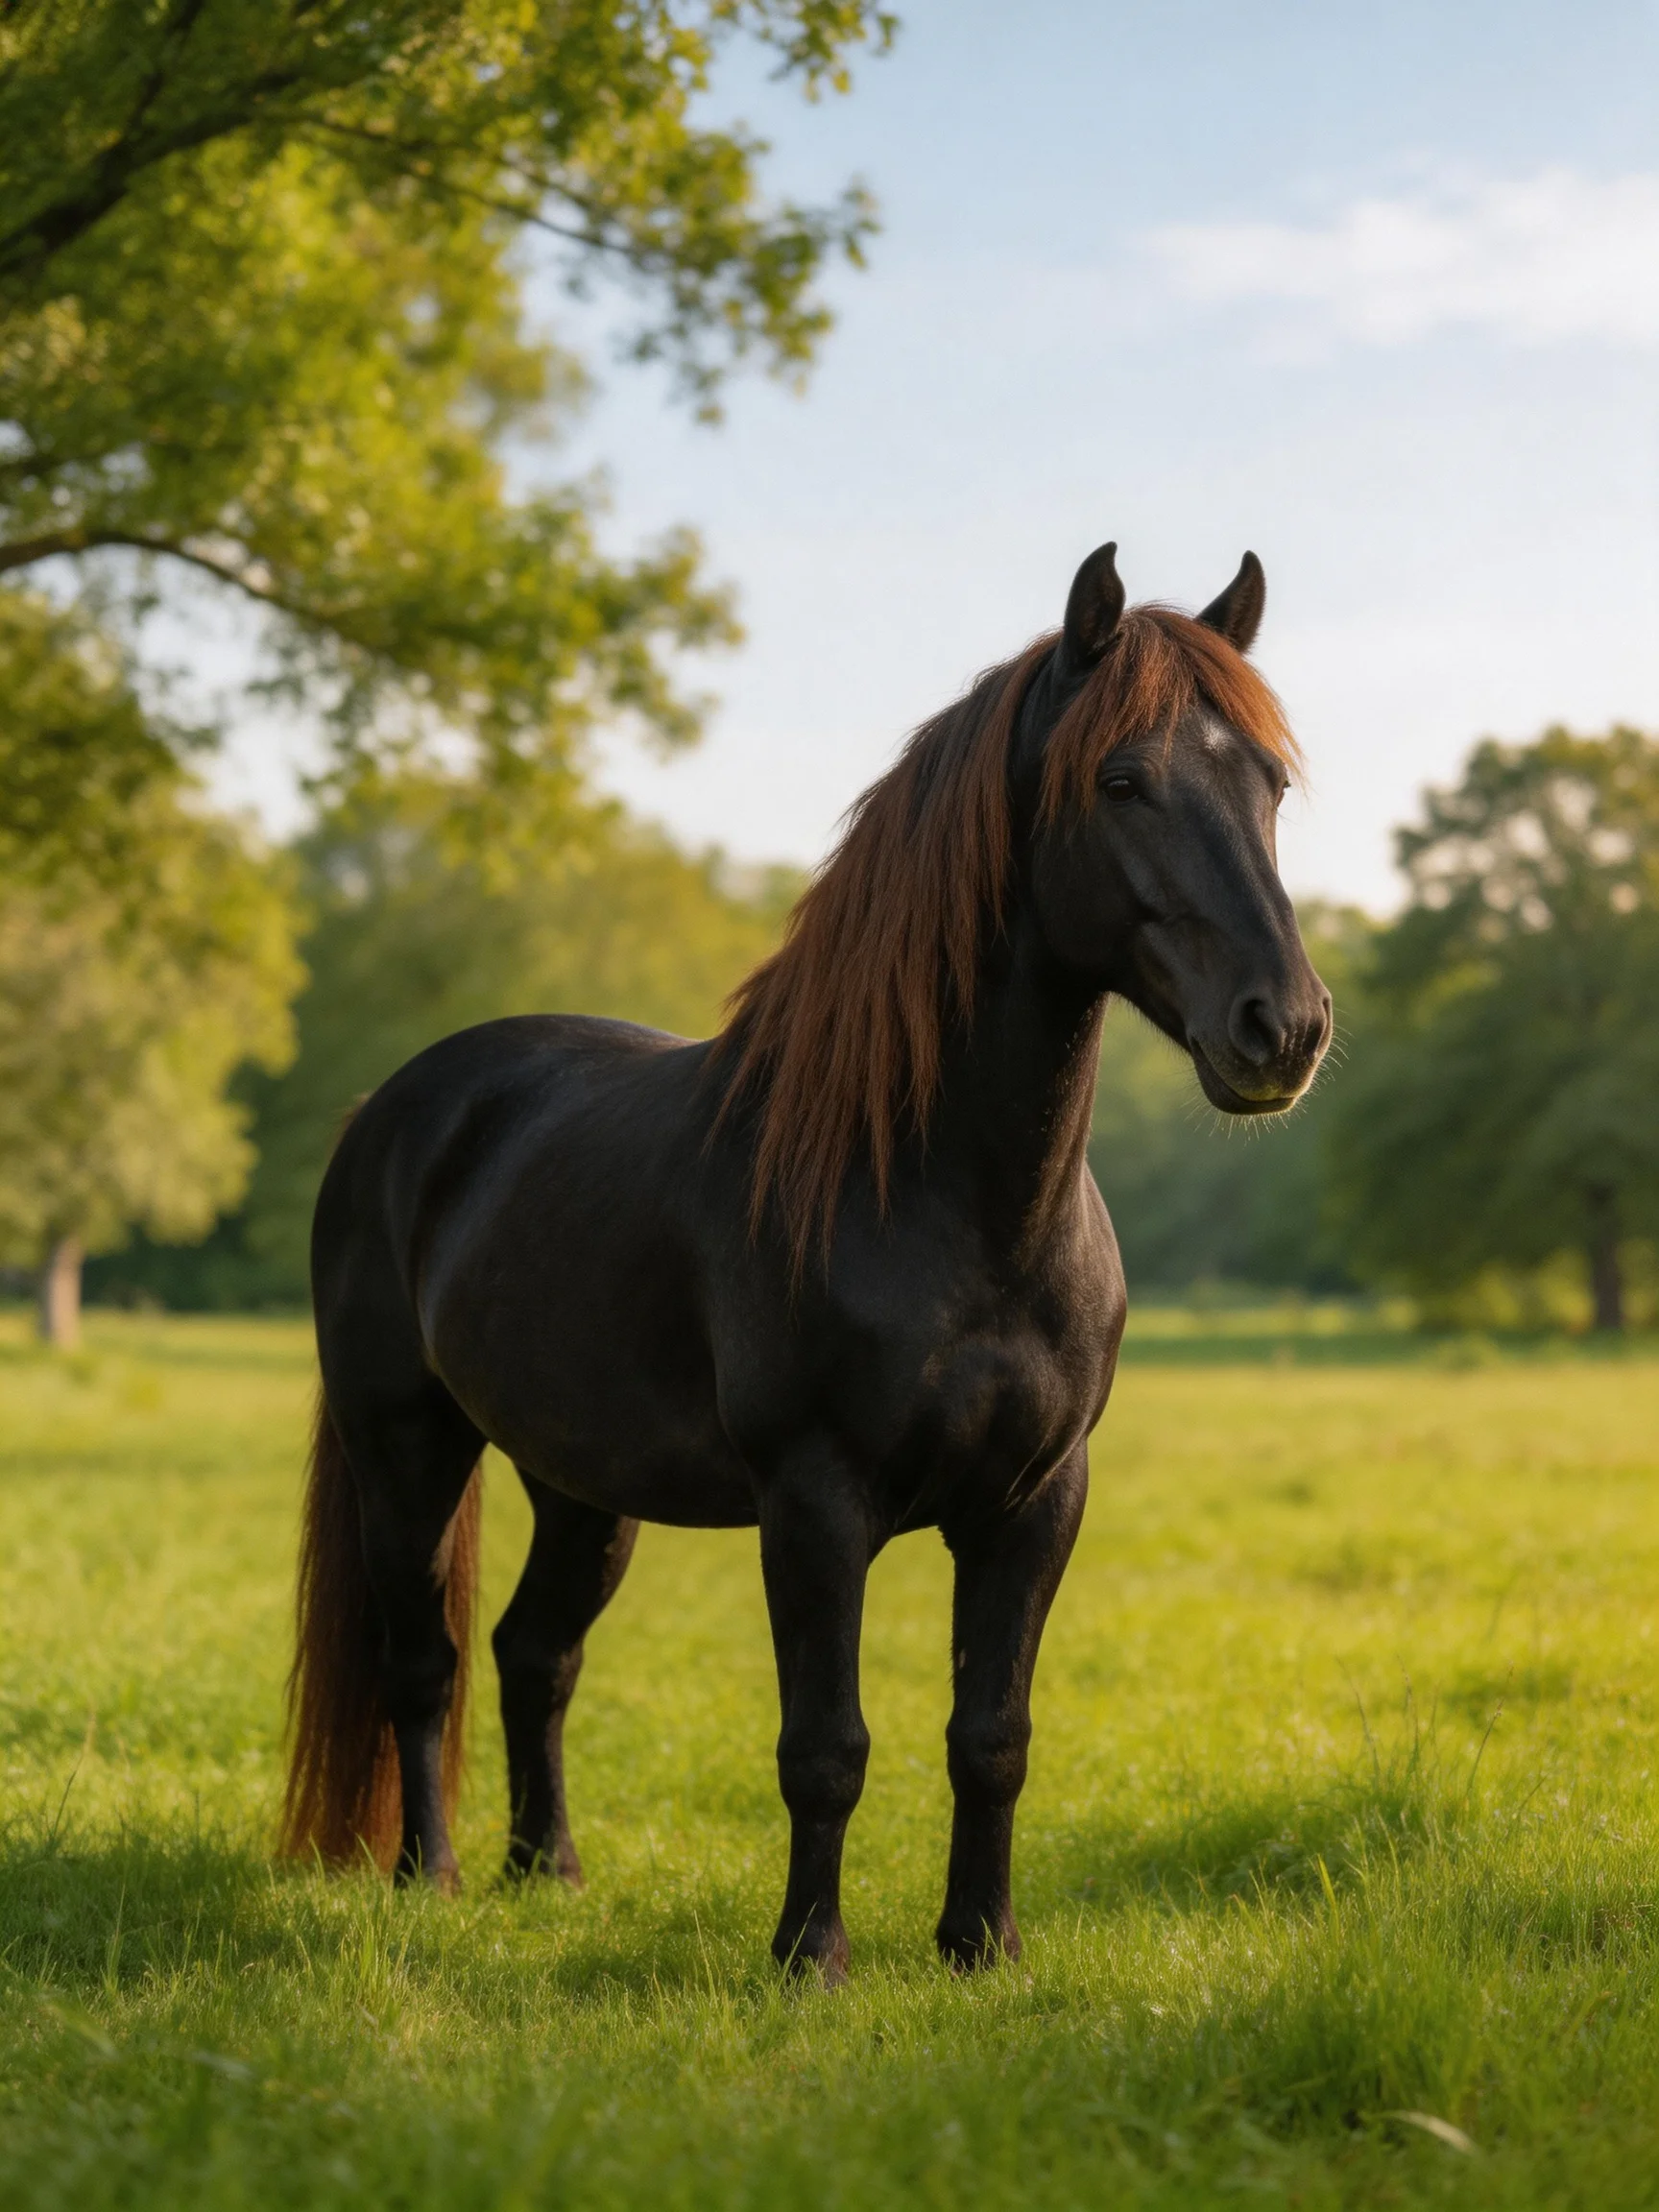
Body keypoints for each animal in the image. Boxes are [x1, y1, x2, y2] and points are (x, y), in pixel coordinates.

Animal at [279, 541, 1331, 1983]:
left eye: (1269, 781)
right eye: (1120, 781)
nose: (1283, 1029)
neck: (945, 1202)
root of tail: (389, 1109)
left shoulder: (1036, 1503)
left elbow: (992, 1737)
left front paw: (981, 1945)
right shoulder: (816, 1504)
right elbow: (826, 1746)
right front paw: (810, 1955)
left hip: (579, 1483)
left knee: (533, 1653)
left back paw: (546, 1871)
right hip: (408, 1446)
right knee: (422, 1659)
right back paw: (426, 1877)